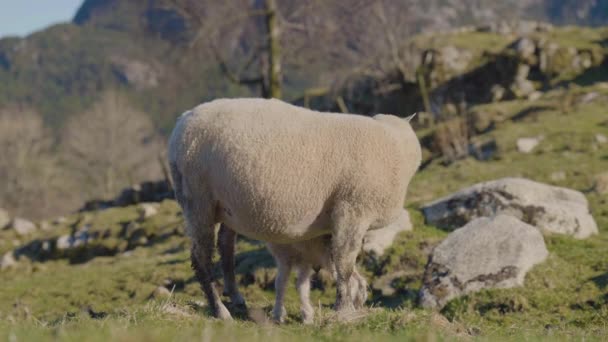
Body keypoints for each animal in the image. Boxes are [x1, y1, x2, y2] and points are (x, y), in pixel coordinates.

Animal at [167, 97, 422, 320]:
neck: (395, 145)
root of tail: (182, 122)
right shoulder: (352, 209)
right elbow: (344, 262)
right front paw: (344, 308)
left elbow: (334, 260)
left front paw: (351, 298)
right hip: (198, 199)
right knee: (201, 257)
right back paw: (220, 310)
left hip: (227, 205)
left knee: (226, 248)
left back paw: (237, 299)